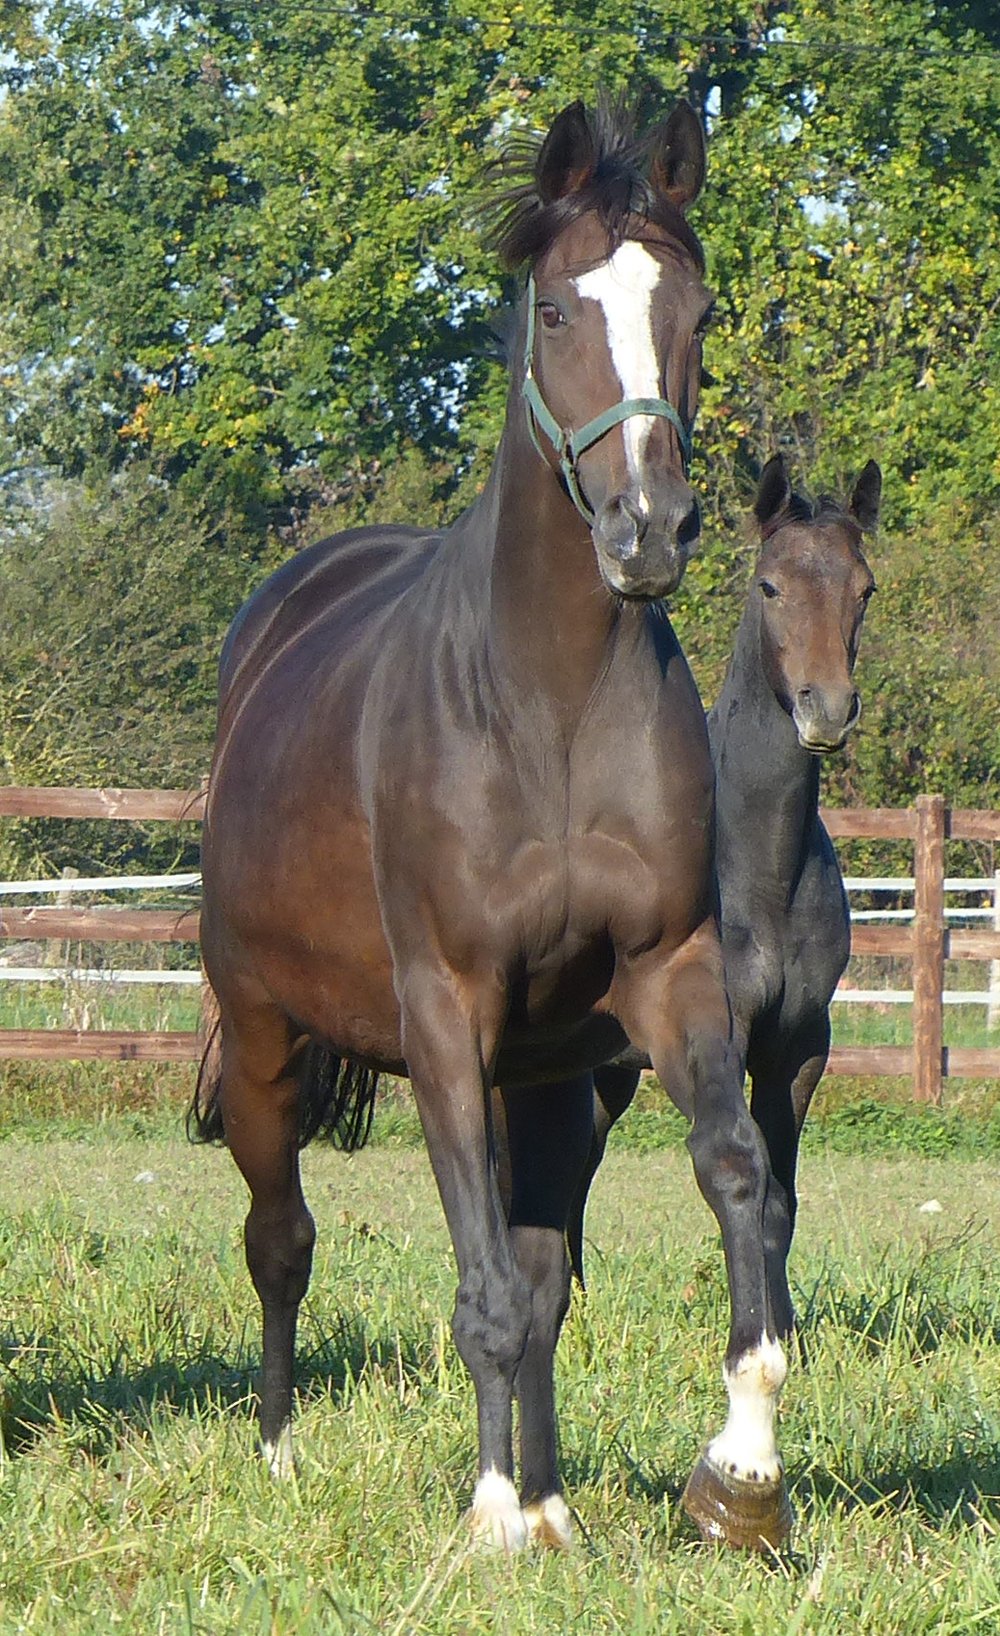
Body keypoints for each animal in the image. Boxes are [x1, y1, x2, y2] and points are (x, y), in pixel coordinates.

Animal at [192, 95, 793, 1554]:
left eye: (695, 308)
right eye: (560, 311)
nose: (649, 529)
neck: (547, 707)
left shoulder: (668, 985)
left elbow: (732, 1178)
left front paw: (740, 1474)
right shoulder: (445, 1015)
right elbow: (481, 1292)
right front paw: (488, 1521)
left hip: (555, 1077)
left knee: (542, 1263)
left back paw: (560, 1498)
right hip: (266, 1039)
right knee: (281, 1239)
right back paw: (283, 1457)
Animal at [559, 454, 880, 1361]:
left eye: (865, 589)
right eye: (769, 586)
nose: (825, 710)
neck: (758, 874)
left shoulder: (797, 1045)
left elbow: (782, 1194)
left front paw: (787, 1336)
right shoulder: (719, 1038)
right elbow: (751, 1175)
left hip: (604, 1071)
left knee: (572, 1170)